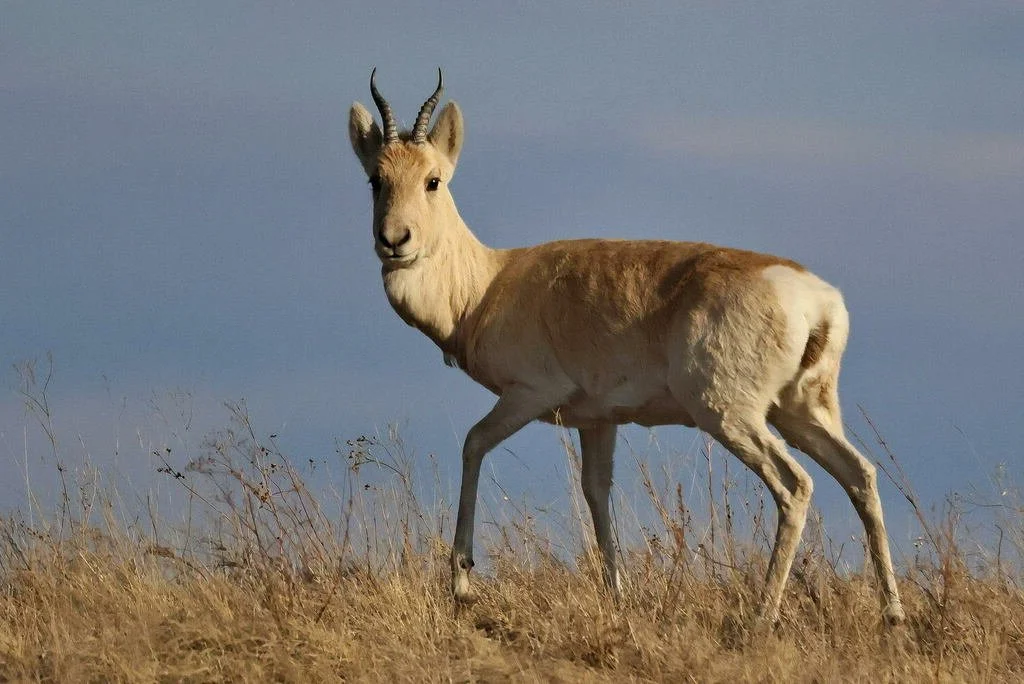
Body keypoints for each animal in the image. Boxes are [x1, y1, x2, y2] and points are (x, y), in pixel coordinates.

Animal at [348, 69, 906, 626]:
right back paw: (893, 614)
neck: (492, 281)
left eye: (433, 179)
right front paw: (617, 593)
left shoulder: (528, 394)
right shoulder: (599, 420)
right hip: (802, 411)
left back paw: (760, 616)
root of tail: (817, 298)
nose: (394, 240)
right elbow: (597, 491)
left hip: (730, 415)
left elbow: (473, 443)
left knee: (795, 486)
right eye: (376, 178)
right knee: (860, 474)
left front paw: (461, 583)